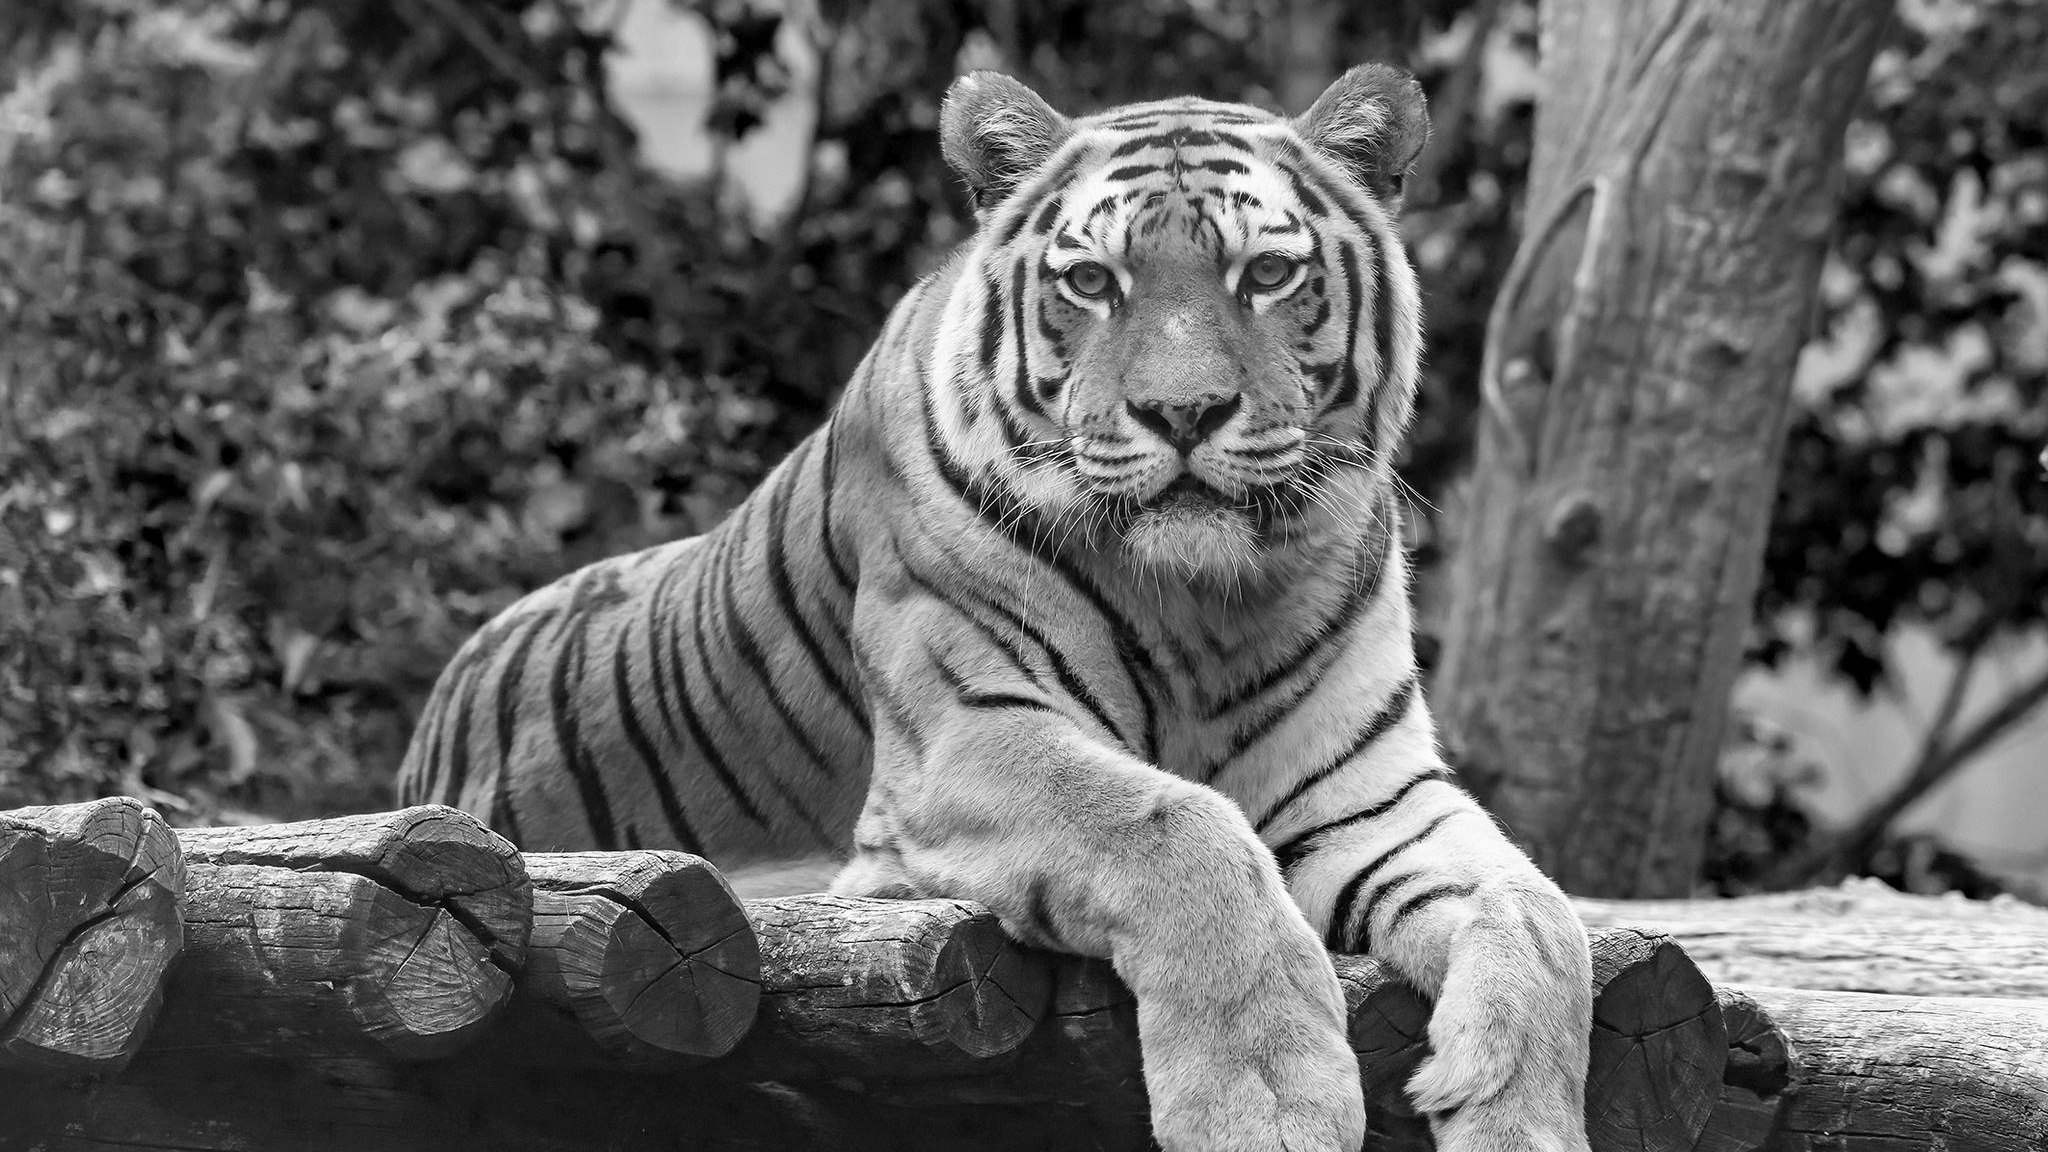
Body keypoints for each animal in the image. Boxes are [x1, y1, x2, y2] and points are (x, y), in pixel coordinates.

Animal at [399, 64, 1593, 1152]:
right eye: (1093, 281)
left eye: (1265, 273)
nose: (1185, 412)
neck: (1208, 603)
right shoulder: (966, 740)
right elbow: (1178, 827)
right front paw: (1269, 1104)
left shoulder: (1371, 795)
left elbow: (1542, 916)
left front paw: (1513, 1114)